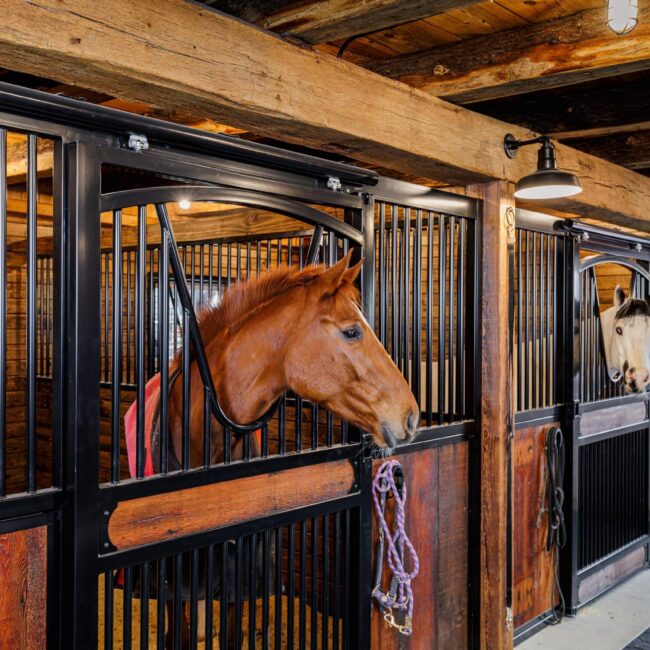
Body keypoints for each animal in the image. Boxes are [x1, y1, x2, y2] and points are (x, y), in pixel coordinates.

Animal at [124, 251, 419, 647]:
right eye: (352, 331)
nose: (411, 415)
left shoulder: (241, 580)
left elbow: (232, 636)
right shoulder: (174, 582)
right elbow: (178, 636)